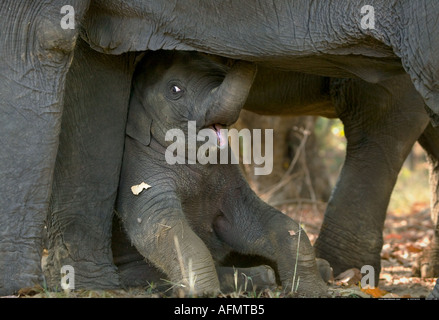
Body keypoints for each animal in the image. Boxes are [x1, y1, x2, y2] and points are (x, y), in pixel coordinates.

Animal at [113, 50, 326, 298]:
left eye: (223, 73)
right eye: (175, 90)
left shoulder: (229, 172)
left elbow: (252, 218)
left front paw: (314, 290)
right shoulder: (138, 168)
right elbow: (159, 224)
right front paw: (202, 293)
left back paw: (322, 269)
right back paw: (263, 276)